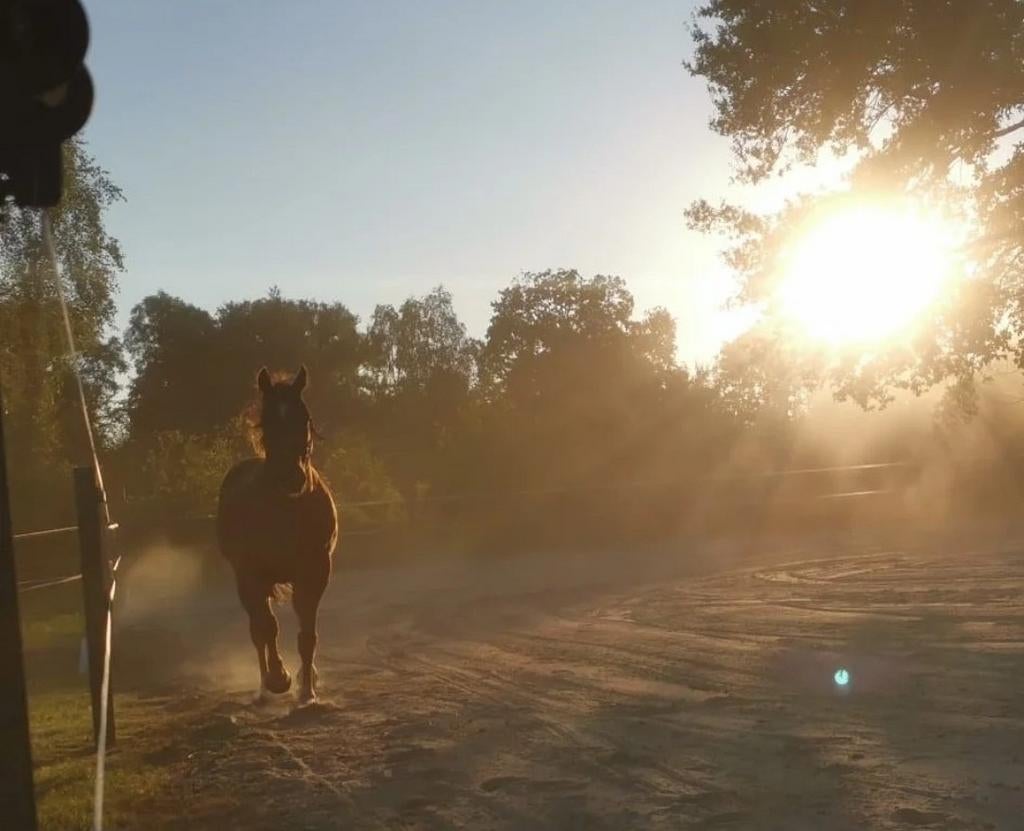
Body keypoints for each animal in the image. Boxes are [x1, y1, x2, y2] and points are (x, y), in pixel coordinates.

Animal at [217, 365, 338, 704]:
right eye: (269, 420)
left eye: (304, 417)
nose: (291, 477)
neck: (286, 509)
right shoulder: (252, 574)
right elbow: (267, 628)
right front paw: (279, 678)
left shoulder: (314, 571)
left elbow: (307, 634)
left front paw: (307, 689)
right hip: (247, 581)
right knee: (259, 630)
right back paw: (264, 685)